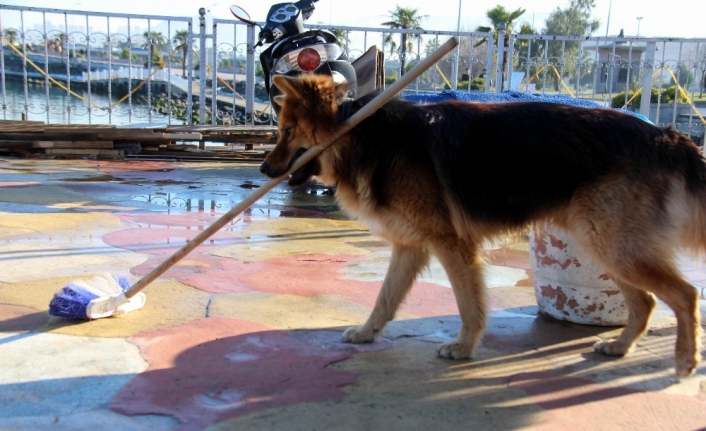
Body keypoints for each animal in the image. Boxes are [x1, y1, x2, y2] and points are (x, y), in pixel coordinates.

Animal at [260, 74, 704, 378]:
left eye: (286, 132)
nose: (263, 169)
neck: (358, 132)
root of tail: (666, 136)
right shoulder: (410, 247)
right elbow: (385, 298)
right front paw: (368, 333)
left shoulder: (452, 245)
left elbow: (468, 303)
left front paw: (463, 348)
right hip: (605, 245)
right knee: (646, 302)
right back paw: (620, 347)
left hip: (613, 246)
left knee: (685, 295)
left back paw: (684, 361)